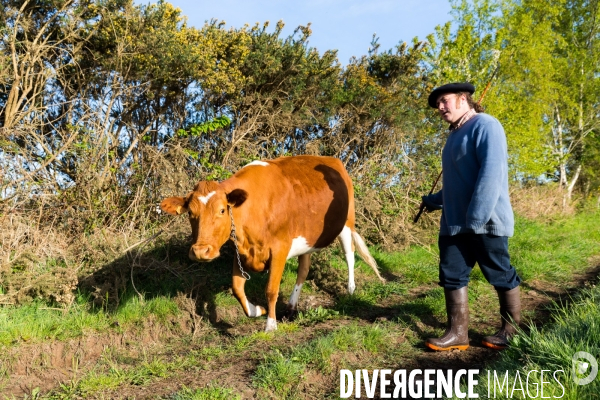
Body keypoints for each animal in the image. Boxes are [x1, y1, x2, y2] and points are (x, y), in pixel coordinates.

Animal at [159, 155, 384, 332]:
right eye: (190, 213)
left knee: (349, 255)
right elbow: (237, 288)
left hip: (347, 223)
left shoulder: (279, 249)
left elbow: (271, 289)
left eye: (222, 210)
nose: (200, 251)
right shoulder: (241, 252)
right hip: (308, 237)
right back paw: (292, 306)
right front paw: (256, 310)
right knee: (304, 269)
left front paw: (270, 325)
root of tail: (333, 160)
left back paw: (350, 290)